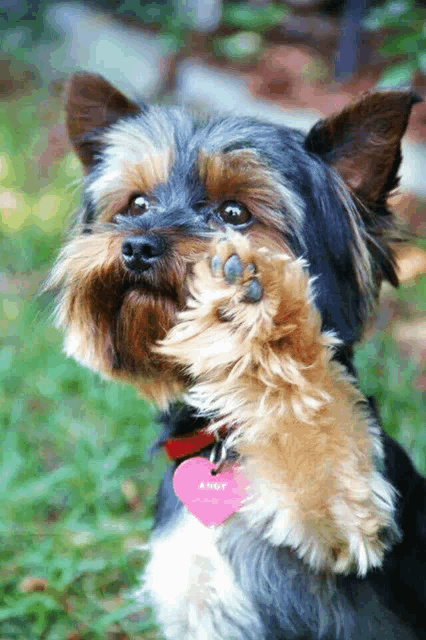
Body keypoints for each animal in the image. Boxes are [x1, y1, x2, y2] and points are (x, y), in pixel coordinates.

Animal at [47, 72, 426, 636]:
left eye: (234, 214)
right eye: (136, 205)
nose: (137, 245)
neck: (218, 436)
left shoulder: (351, 524)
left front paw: (262, 322)